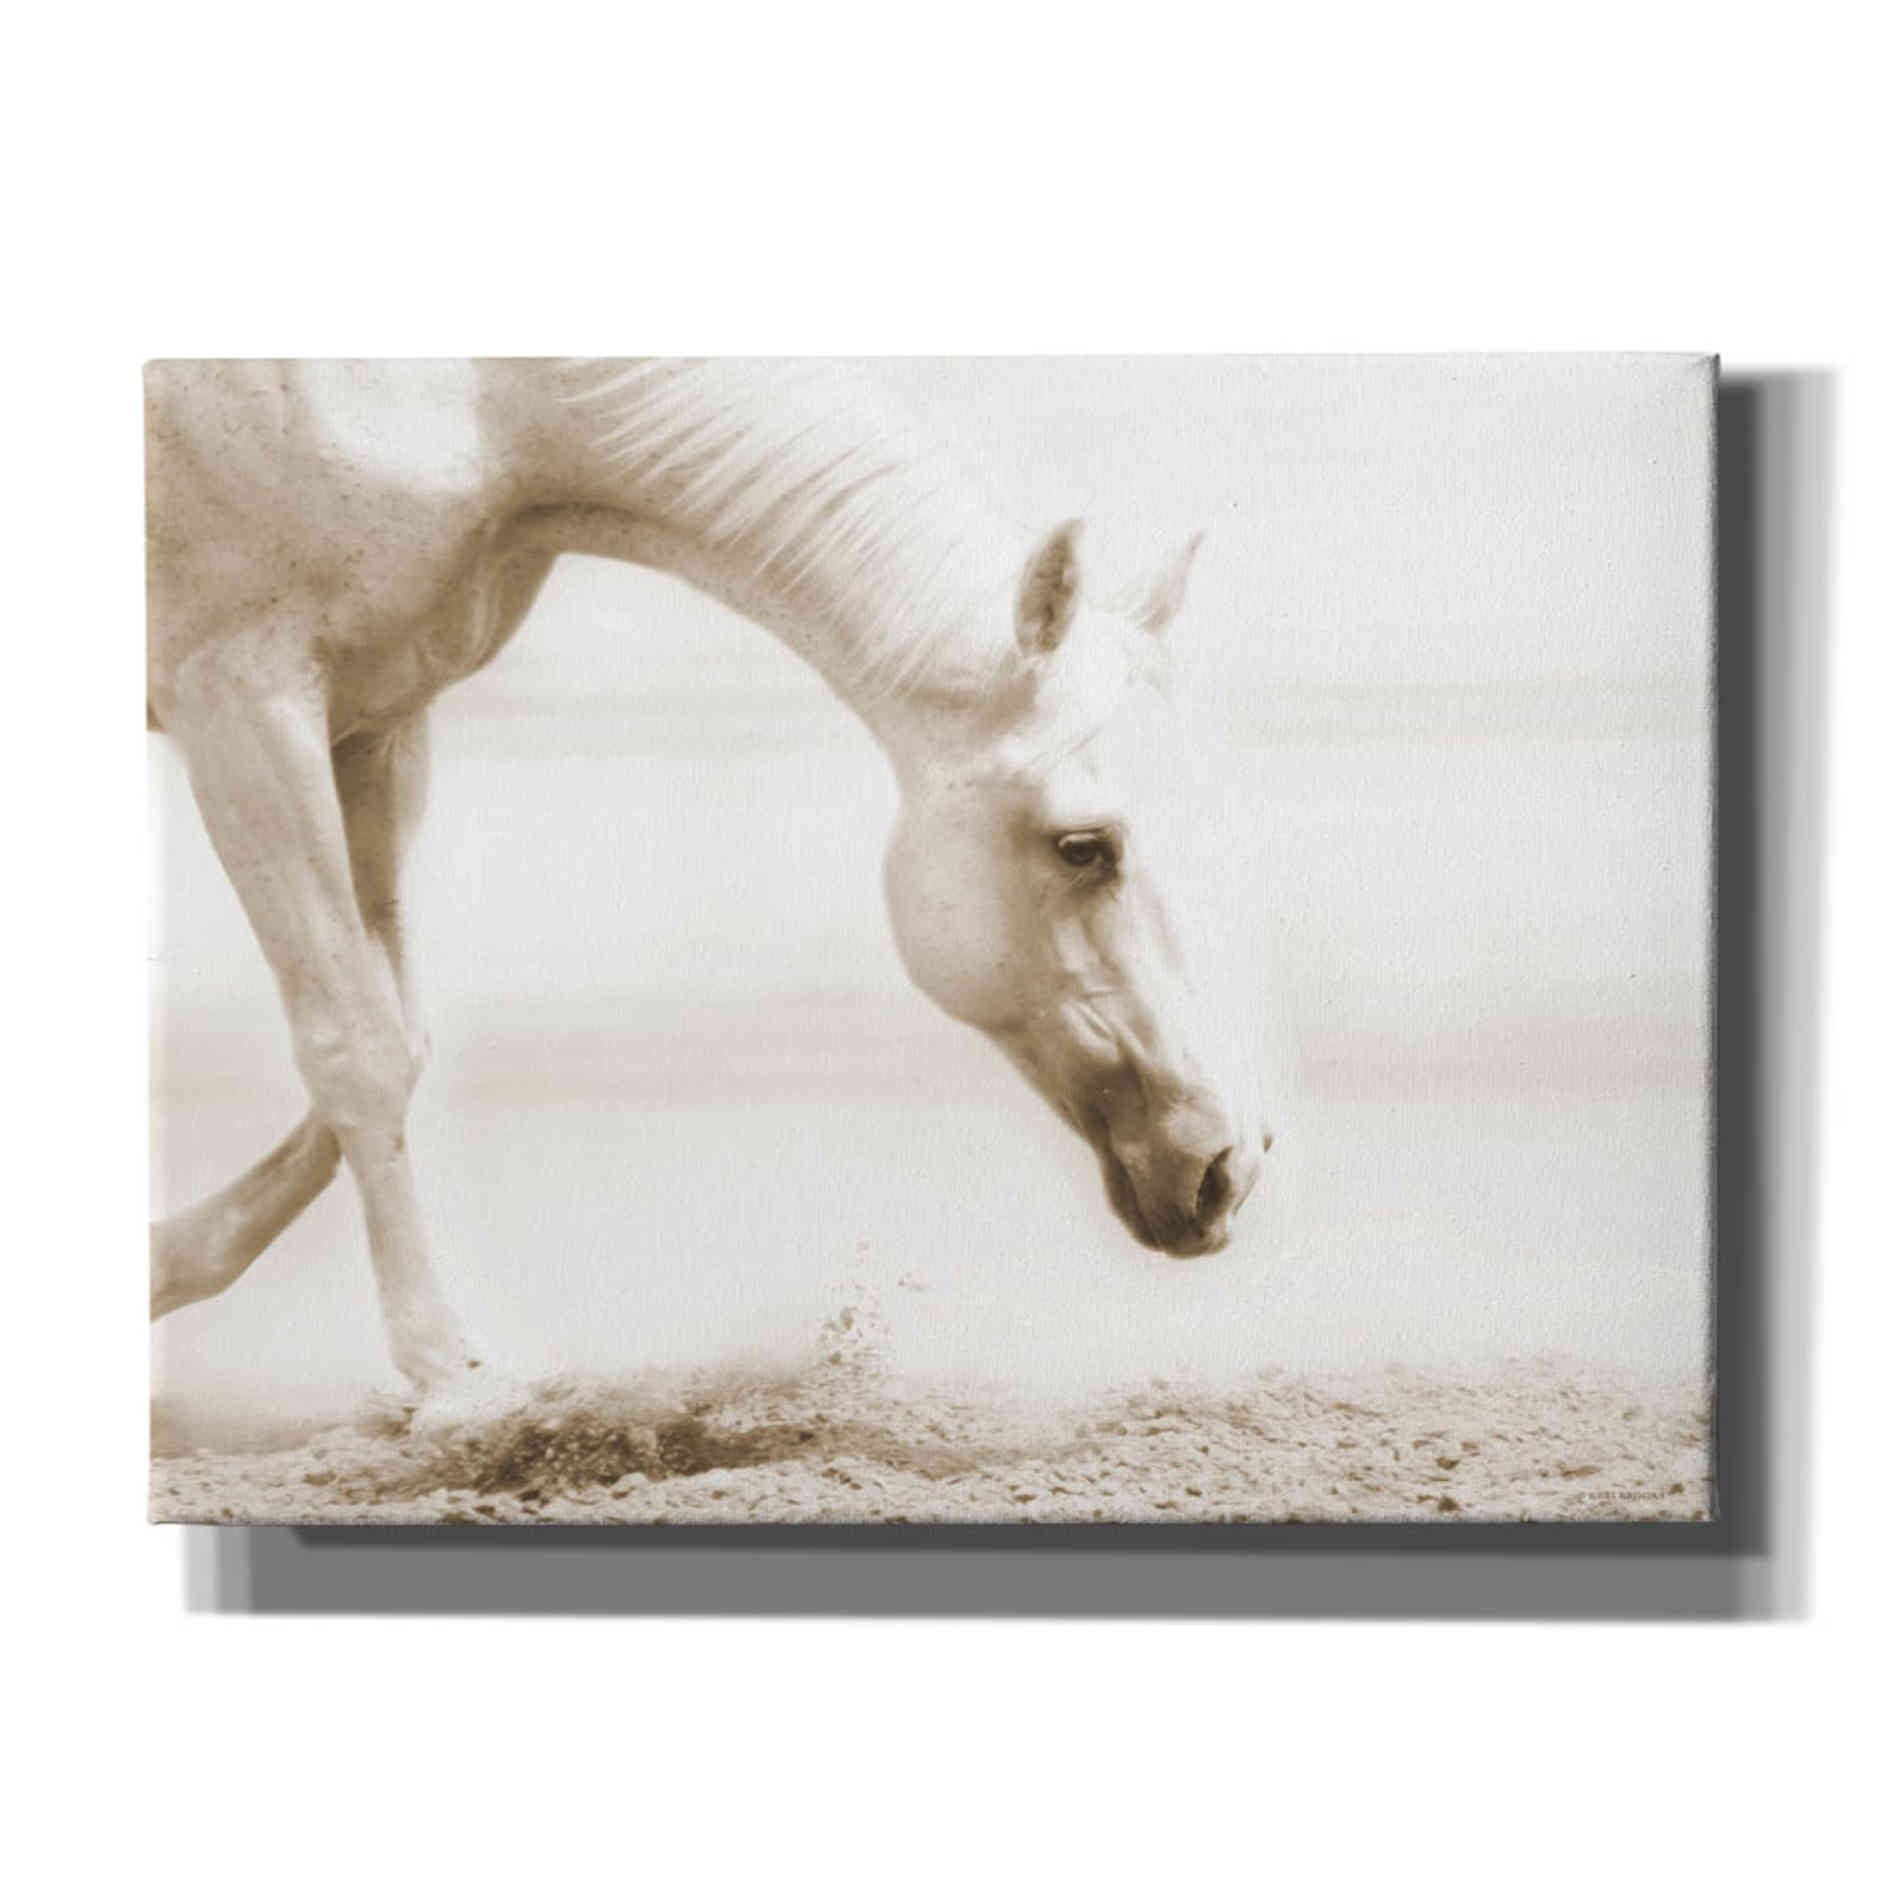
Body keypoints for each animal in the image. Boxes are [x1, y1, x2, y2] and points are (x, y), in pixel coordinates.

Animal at [147, 357, 1273, 1398]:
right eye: (1082, 846)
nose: (1228, 1166)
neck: (483, 399)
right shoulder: (241, 698)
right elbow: (355, 1047)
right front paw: (451, 1380)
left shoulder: (375, 720)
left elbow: (396, 1035)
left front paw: (162, 1263)